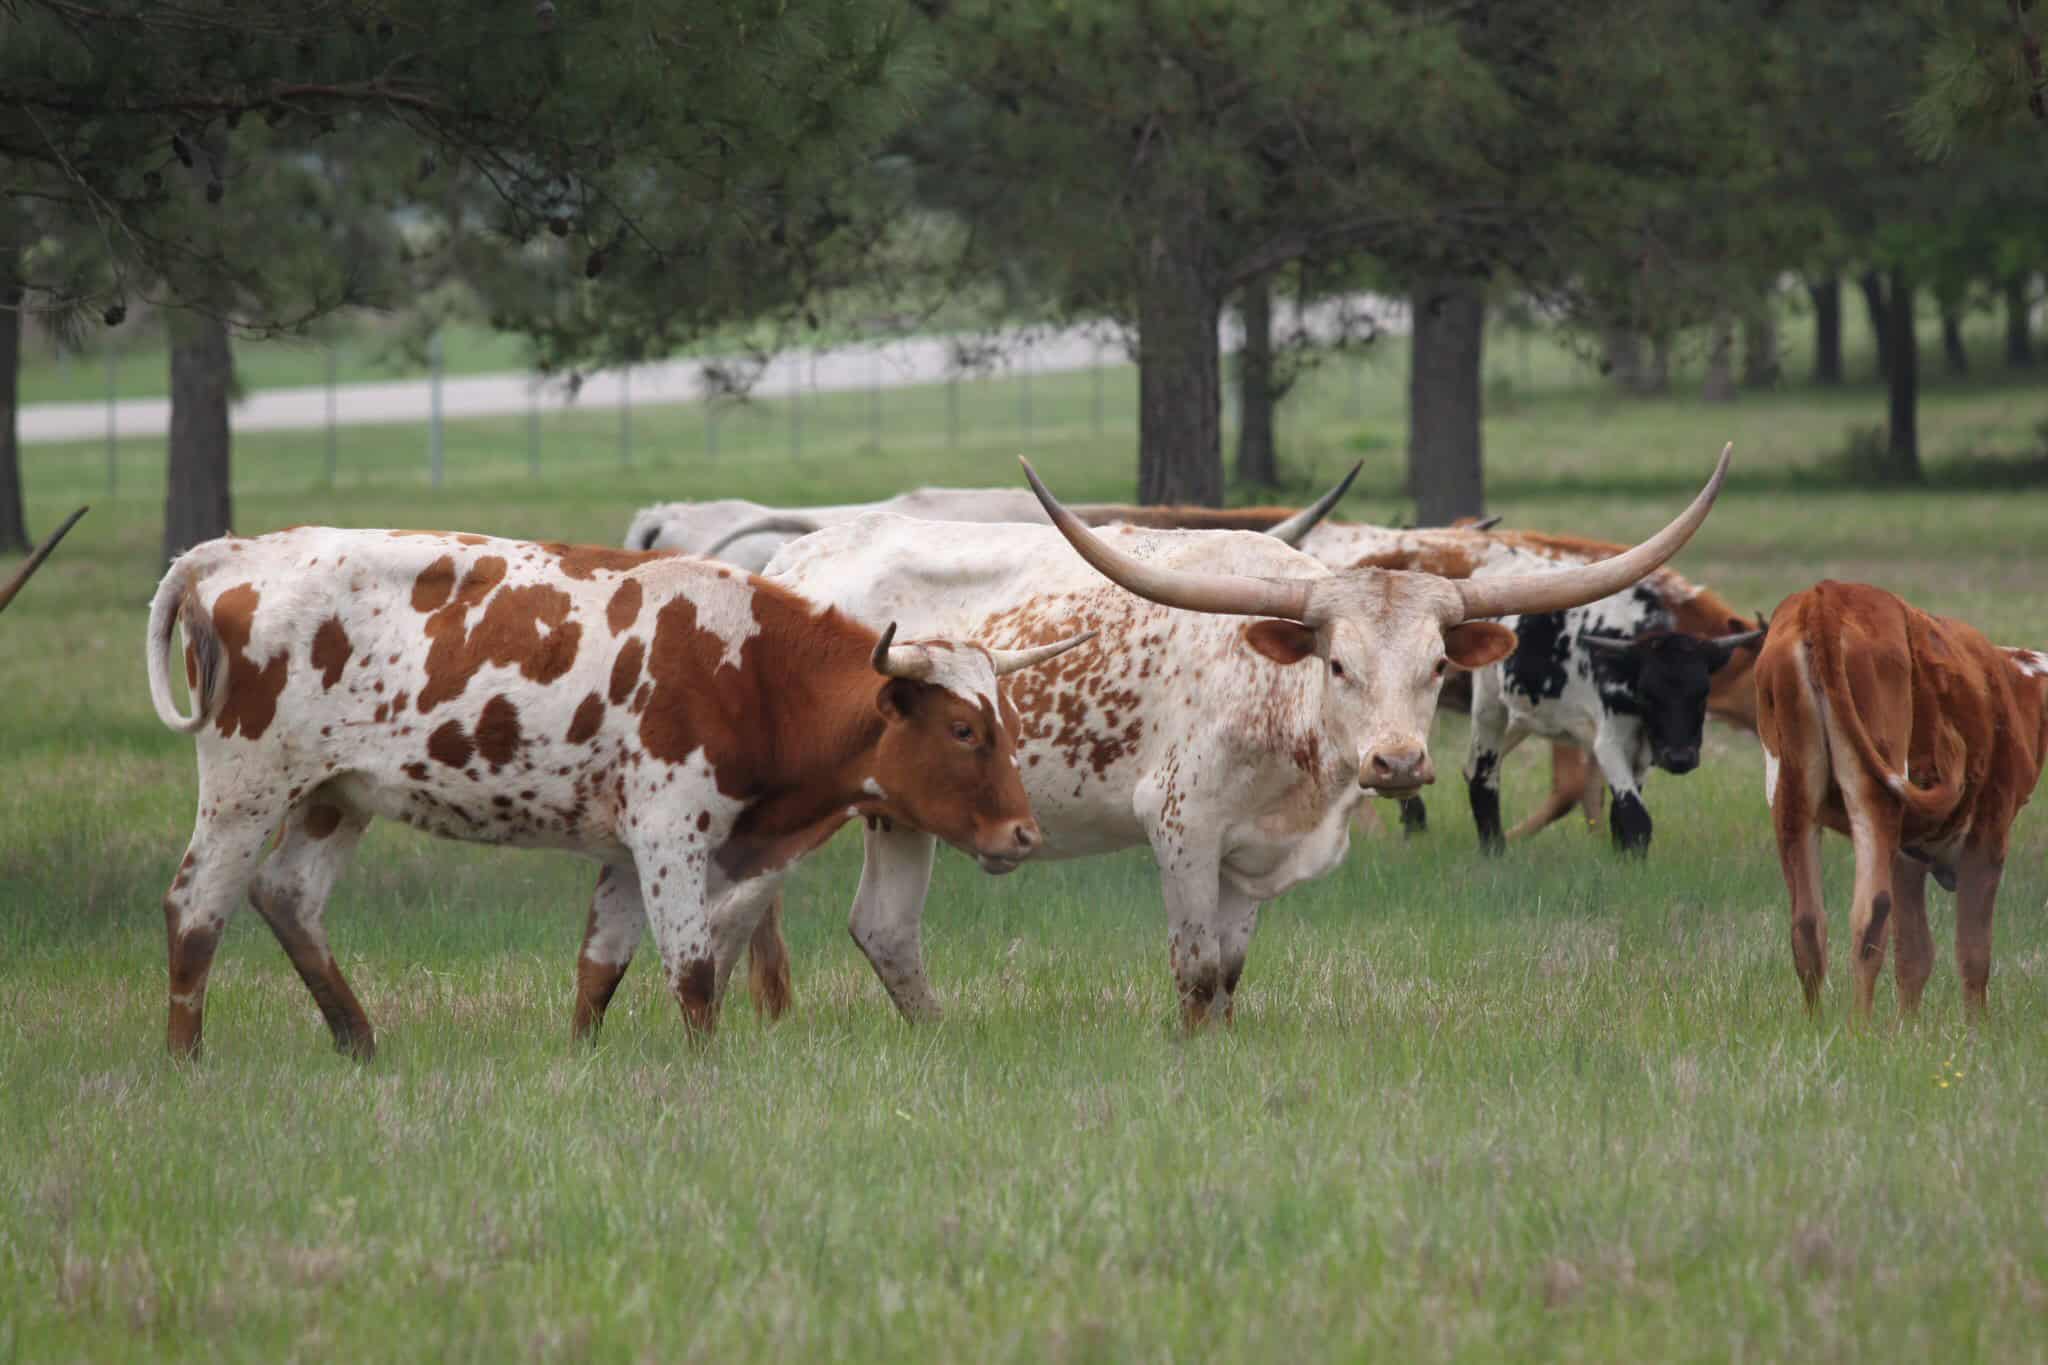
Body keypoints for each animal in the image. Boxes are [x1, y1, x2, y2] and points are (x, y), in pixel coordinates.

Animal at [144, 527, 1092, 1058]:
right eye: (962, 730)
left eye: (1008, 720)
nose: (1022, 834)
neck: (754, 670)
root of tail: (234, 551)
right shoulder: (670, 831)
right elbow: (694, 966)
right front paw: (709, 1072)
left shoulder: (626, 851)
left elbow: (601, 965)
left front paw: (583, 1062)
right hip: (246, 787)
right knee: (197, 909)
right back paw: (187, 1059)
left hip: (337, 793)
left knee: (289, 896)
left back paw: (361, 1042)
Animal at [720, 446, 1732, 1028]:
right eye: (1337, 663)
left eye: (1437, 663)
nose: (1398, 761)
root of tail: (789, 563)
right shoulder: (1181, 826)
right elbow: (1196, 964)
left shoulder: (1259, 852)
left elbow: (1234, 970)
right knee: (739, 909)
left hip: (902, 816)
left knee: (884, 931)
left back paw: (939, 1034)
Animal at [1754, 580, 2048, 1018]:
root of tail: (1825, 597)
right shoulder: (1988, 836)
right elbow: (1973, 954)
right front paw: (1976, 1031)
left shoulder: (1908, 856)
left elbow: (1914, 955)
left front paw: (1907, 1029)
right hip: (1874, 792)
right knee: (1868, 919)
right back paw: (1860, 1028)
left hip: (1790, 794)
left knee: (1807, 926)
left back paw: (1815, 1025)